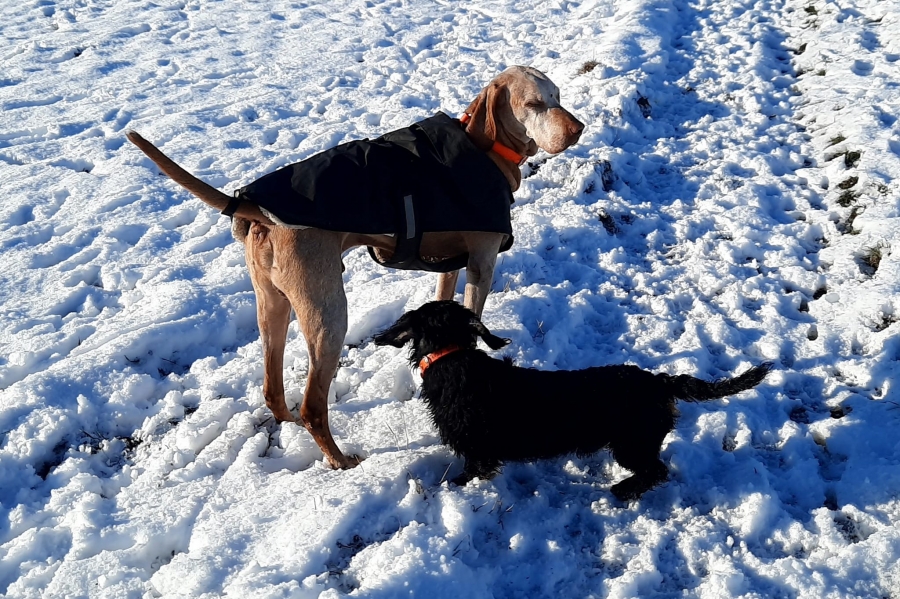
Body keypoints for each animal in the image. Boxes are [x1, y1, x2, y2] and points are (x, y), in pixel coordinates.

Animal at [126, 66, 584, 469]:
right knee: (313, 405)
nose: (577, 128)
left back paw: (290, 426)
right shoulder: (481, 263)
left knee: (273, 390)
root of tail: (257, 210)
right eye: (533, 103)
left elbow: (444, 302)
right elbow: (475, 317)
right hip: (328, 316)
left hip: (273, 306)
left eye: (558, 96)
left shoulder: (447, 266)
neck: (483, 149)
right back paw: (340, 461)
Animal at [374, 301, 772, 500]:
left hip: (631, 443)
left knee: (656, 470)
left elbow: (465, 475)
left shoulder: (478, 454)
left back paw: (623, 490)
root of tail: (658, 382)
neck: (452, 357)